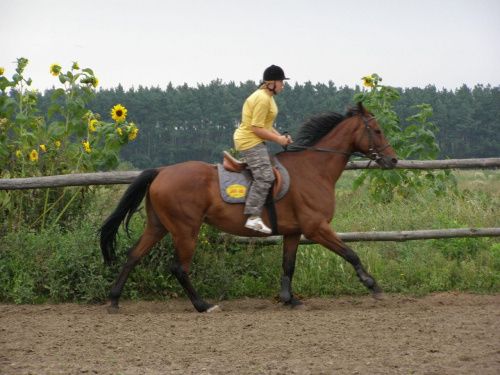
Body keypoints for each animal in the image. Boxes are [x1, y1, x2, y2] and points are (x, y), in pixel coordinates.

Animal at [100, 103, 398, 314]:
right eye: (378, 130)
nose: (393, 160)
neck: (315, 170)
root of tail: (162, 171)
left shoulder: (294, 231)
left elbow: (288, 264)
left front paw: (290, 300)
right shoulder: (316, 228)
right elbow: (351, 253)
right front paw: (374, 287)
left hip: (158, 225)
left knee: (133, 256)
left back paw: (114, 301)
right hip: (186, 229)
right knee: (179, 268)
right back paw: (203, 305)